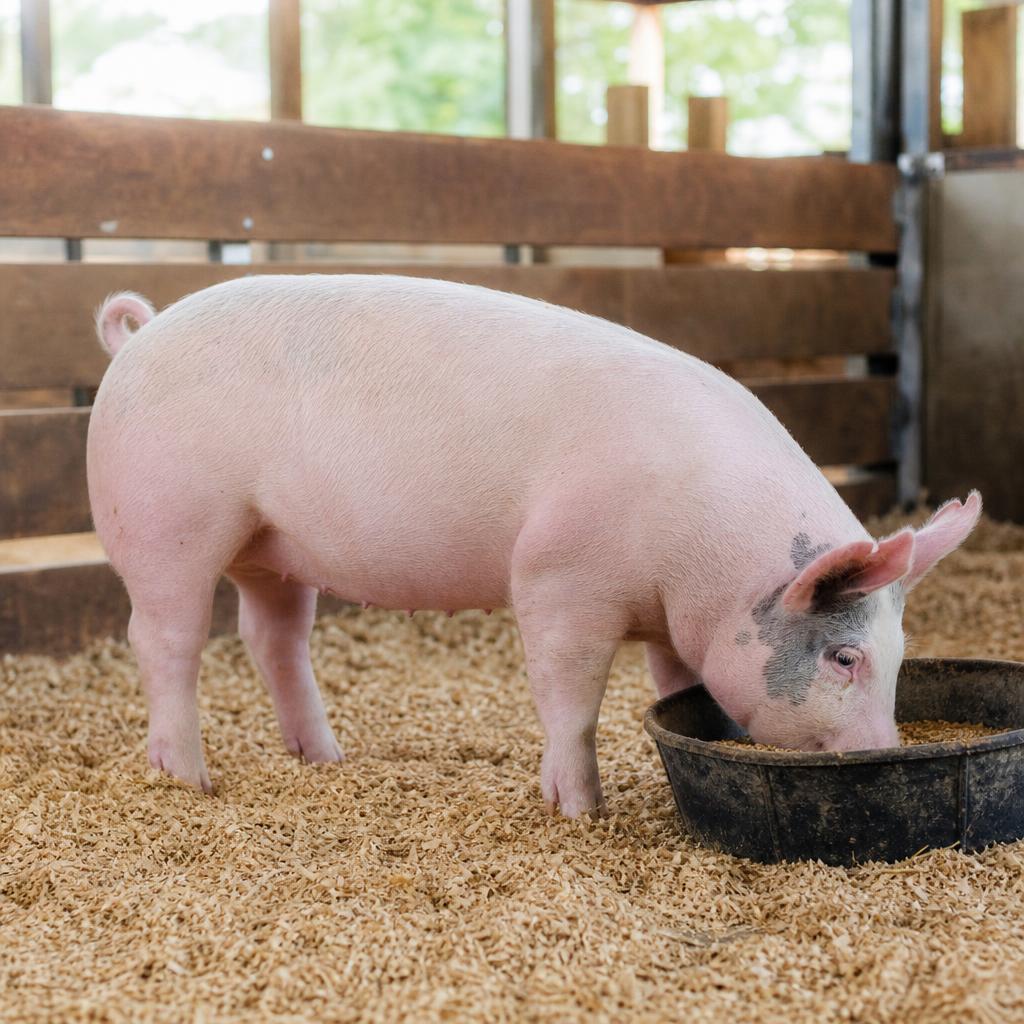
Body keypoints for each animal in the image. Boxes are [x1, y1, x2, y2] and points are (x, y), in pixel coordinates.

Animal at [88, 275, 981, 816]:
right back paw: (187, 780)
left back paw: (324, 761)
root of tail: (139, 335)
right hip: (169, 520)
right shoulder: (560, 576)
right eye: (844, 656)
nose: (882, 750)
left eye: (899, 655)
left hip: (272, 547)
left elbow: (679, 684)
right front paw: (578, 810)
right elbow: (571, 700)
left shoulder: (674, 620)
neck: (698, 562)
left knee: (270, 636)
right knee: (163, 639)